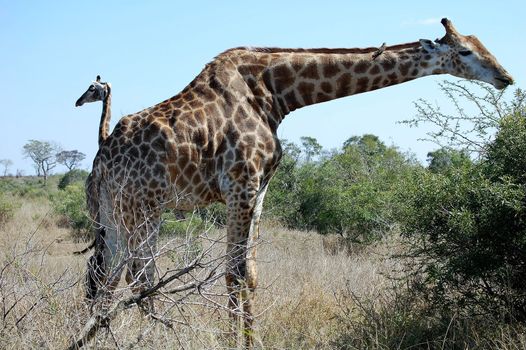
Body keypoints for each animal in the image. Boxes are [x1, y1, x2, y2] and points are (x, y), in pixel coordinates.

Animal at [86, 18, 516, 344]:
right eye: (465, 51)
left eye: (482, 44)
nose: (506, 77)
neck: (277, 94)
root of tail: (100, 163)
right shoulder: (241, 183)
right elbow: (233, 273)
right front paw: (236, 341)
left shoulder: (260, 188)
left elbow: (250, 274)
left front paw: (252, 340)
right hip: (140, 207)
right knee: (138, 276)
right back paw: (161, 336)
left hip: (118, 212)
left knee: (107, 275)